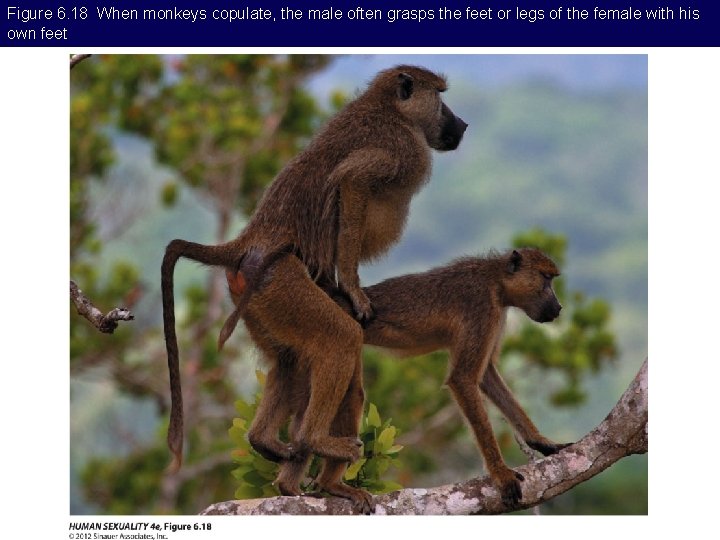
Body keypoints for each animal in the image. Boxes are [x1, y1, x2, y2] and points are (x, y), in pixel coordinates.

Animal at [161, 65, 467, 512]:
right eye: (441, 96)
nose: (461, 123)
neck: (389, 109)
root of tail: (249, 242)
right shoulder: (404, 150)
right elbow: (352, 180)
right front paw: (353, 288)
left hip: (258, 300)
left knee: (290, 362)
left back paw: (271, 451)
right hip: (281, 283)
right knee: (339, 339)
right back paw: (316, 442)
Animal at [232, 248, 569, 508]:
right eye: (546, 279)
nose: (558, 307)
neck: (496, 280)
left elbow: (486, 377)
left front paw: (541, 442)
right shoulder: (482, 308)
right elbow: (463, 379)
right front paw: (501, 474)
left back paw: (284, 478)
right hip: (322, 327)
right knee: (349, 393)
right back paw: (330, 483)